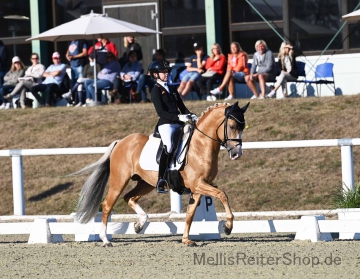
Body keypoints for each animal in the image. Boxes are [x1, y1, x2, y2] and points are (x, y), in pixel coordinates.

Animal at [74, 101, 249, 246]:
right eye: (232, 126)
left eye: (242, 127)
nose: (237, 154)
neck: (200, 145)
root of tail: (121, 142)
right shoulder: (198, 184)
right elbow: (222, 194)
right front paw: (228, 226)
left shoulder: (199, 187)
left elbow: (190, 214)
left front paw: (186, 240)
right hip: (119, 181)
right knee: (107, 205)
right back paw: (105, 240)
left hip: (146, 183)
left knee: (129, 197)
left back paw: (139, 224)